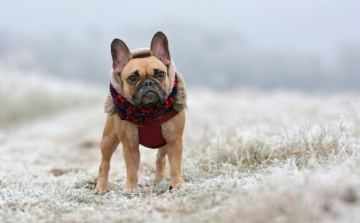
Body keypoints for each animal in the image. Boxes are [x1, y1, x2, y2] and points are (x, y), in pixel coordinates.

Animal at [94, 31, 187, 193]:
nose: (148, 82)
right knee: (104, 163)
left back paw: (159, 179)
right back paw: (101, 187)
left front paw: (178, 184)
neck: (149, 111)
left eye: (161, 74)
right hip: (108, 139)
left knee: (160, 157)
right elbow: (131, 169)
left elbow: (175, 165)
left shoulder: (174, 140)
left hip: (164, 143)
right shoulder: (130, 145)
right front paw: (131, 188)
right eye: (132, 78)